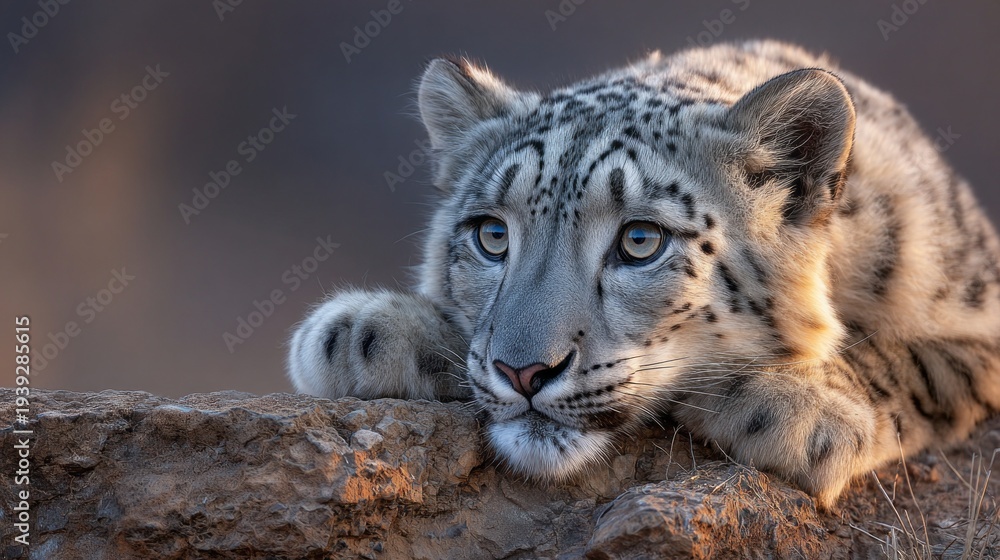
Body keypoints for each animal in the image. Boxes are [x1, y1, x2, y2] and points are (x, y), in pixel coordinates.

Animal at [287, 40, 1000, 509]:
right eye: (492, 235)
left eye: (639, 241)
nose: (524, 372)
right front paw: (362, 331)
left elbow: (919, 364)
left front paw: (800, 410)